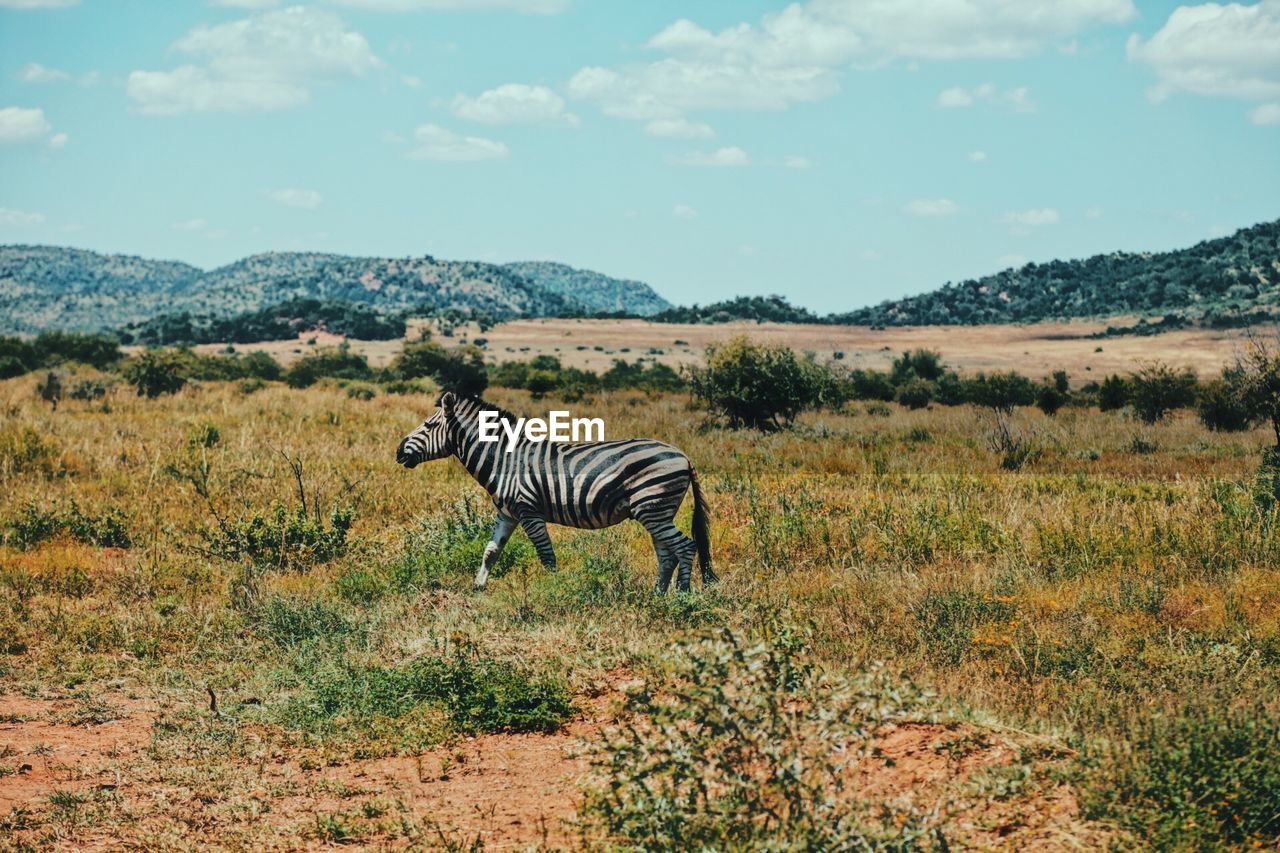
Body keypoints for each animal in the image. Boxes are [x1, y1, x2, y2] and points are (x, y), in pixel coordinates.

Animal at [394, 391, 716, 591]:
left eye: (428, 425)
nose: (398, 451)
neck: (504, 459)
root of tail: (683, 455)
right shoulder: (507, 514)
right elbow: (490, 552)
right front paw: (478, 587)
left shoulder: (529, 511)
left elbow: (546, 556)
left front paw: (552, 591)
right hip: (657, 512)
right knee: (667, 553)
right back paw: (658, 595)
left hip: (654, 507)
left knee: (685, 547)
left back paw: (682, 596)